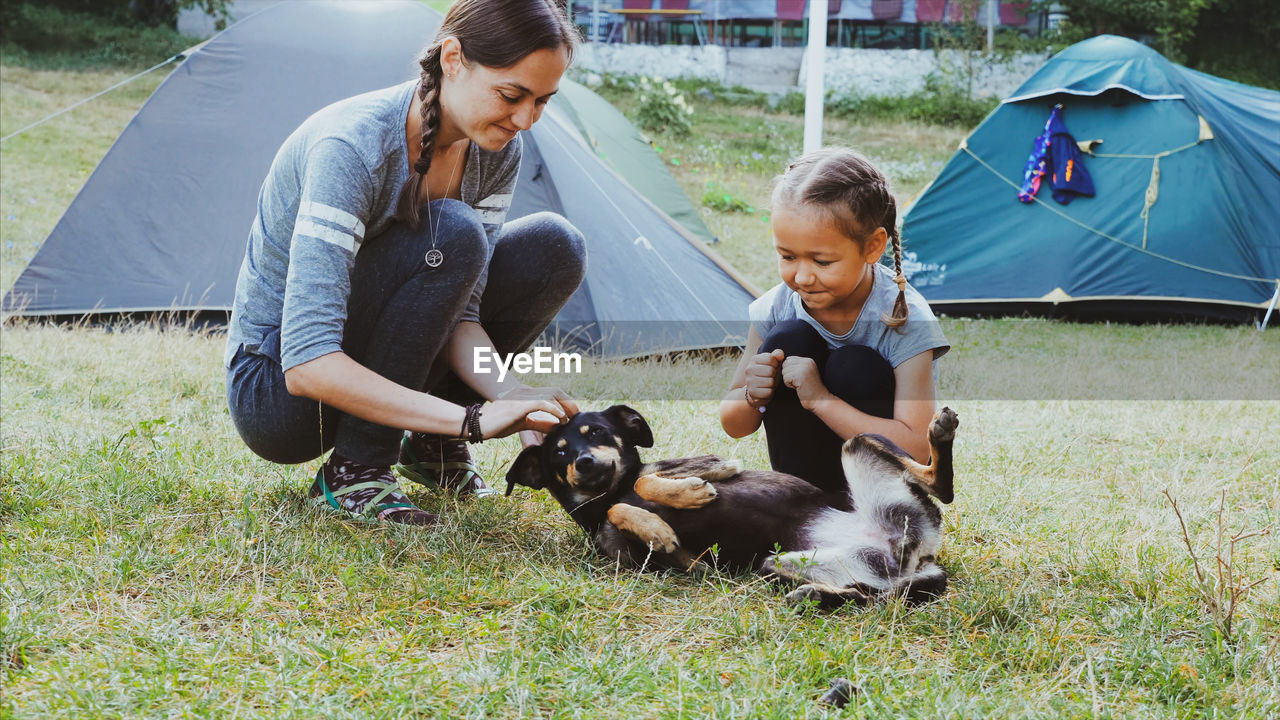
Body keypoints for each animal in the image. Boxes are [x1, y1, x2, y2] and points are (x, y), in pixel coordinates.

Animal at [504, 404, 957, 604]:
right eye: (559, 453)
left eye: (596, 431)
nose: (583, 462)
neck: (609, 492)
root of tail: (914, 554)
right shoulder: (655, 563)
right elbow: (627, 515)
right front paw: (655, 528)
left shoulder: (706, 462)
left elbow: (648, 480)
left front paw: (683, 499)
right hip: (782, 564)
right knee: (872, 597)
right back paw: (815, 596)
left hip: (859, 443)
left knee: (943, 486)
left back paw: (942, 434)